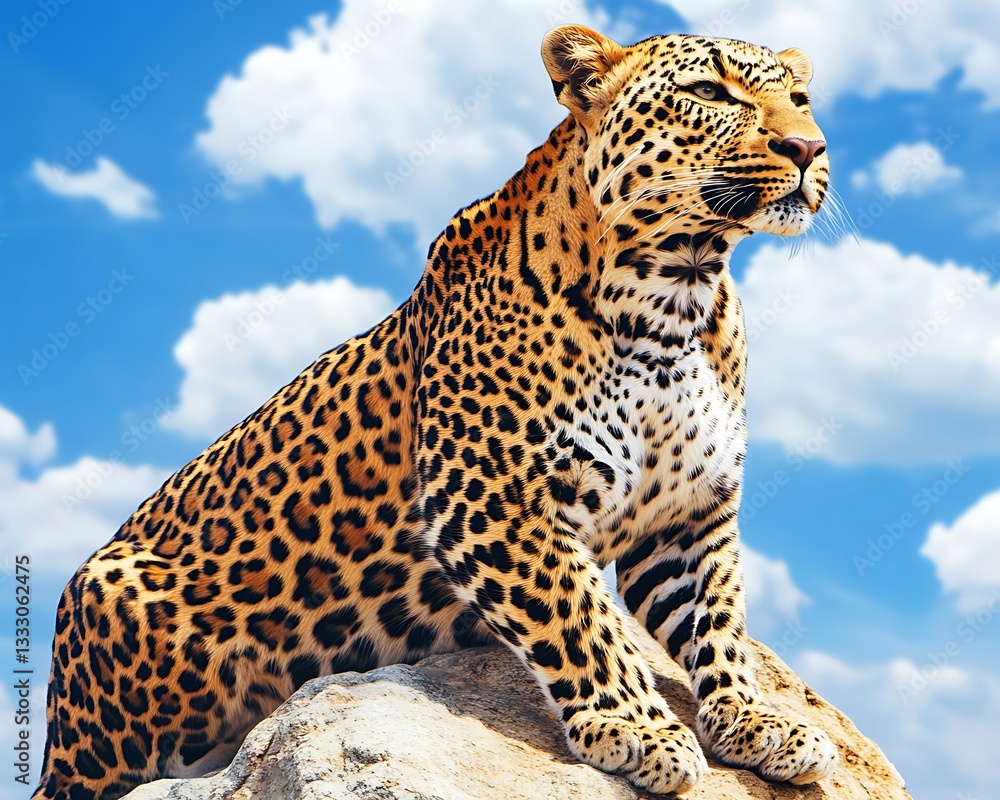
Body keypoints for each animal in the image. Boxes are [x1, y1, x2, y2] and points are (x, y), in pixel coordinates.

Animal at [33, 25, 838, 799]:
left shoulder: (686, 514)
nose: (808, 147)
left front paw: (757, 722)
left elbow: (718, 618)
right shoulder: (493, 495)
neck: (675, 295)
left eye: (801, 98)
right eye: (711, 92)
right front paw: (639, 730)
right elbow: (582, 617)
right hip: (103, 640)